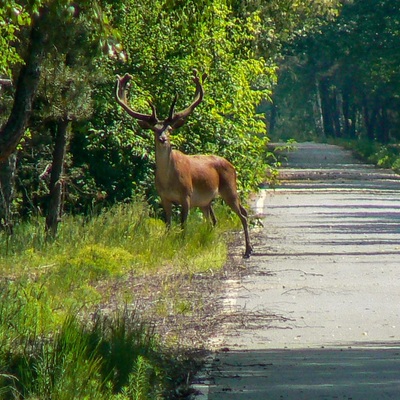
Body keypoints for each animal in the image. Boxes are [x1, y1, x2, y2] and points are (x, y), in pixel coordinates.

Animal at [115, 69, 253, 258]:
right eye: (155, 129)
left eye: (170, 129)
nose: (163, 139)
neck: (169, 180)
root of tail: (232, 166)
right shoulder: (163, 197)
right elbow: (168, 225)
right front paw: (167, 244)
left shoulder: (186, 194)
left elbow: (183, 225)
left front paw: (182, 244)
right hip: (205, 201)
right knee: (213, 220)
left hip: (229, 188)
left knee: (243, 214)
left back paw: (248, 250)